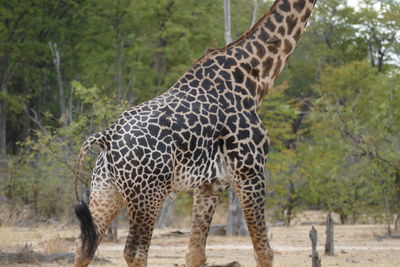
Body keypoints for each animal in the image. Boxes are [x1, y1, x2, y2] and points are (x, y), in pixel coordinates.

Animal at [73, 1, 318, 266]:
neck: (254, 80)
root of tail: (106, 137)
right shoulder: (250, 172)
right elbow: (263, 252)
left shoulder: (210, 184)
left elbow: (195, 254)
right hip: (148, 195)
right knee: (134, 251)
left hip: (105, 190)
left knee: (84, 247)